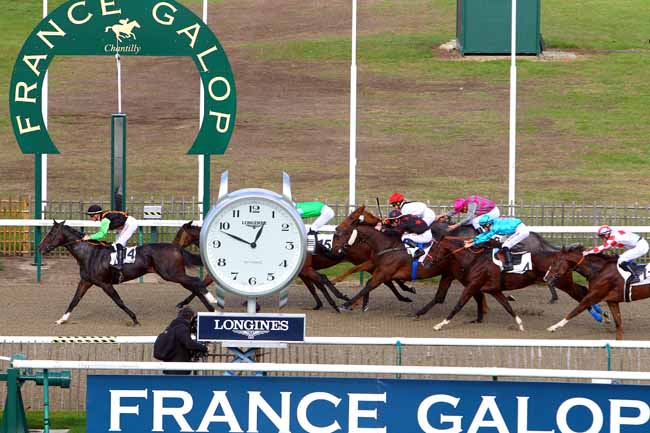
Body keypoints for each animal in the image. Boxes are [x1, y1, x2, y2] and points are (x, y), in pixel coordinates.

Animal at [39, 221, 216, 326]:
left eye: (51, 234)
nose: (40, 248)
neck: (90, 254)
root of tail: (176, 248)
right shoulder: (86, 281)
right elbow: (74, 300)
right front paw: (62, 319)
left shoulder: (105, 283)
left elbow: (118, 301)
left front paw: (135, 319)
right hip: (174, 275)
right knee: (194, 286)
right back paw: (209, 310)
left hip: (171, 274)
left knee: (196, 281)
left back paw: (212, 302)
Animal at [172, 221, 415, 312]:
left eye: (179, 233)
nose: (173, 246)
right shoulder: (303, 271)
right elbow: (314, 286)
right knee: (383, 278)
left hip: (360, 259)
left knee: (384, 277)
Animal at [428, 237, 600, 332]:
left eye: (433, 248)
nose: (426, 261)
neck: (474, 259)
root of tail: (562, 256)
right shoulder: (494, 290)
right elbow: (508, 307)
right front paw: (520, 325)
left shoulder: (473, 285)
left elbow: (458, 305)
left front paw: (440, 325)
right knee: (582, 291)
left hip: (562, 282)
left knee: (580, 293)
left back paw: (599, 316)